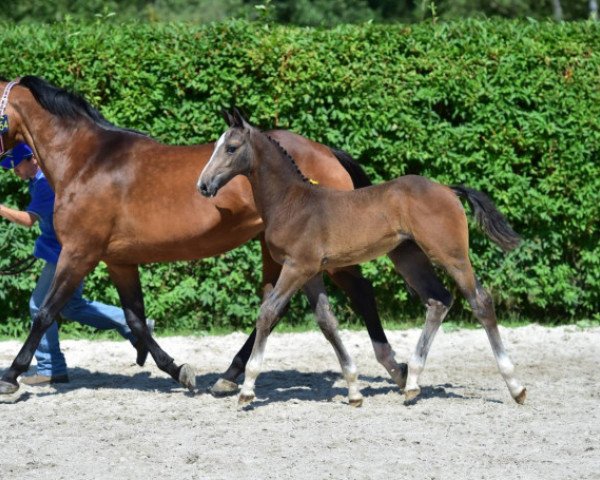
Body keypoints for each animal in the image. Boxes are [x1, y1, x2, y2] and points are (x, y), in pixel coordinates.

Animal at [198, 109, 524, 404]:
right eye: (215, 147)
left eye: (231, 147)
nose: (203, 185)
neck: (292, 202)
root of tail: (448, 189)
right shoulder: (311, 272)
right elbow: (327, 322)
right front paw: (354, 390)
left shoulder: (296, 268)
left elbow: (268, 313)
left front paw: (246, 389)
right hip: (409, 257)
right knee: (438, 300)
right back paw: (411, 384)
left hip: (450, 254)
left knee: (480, 302)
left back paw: (515, 386)